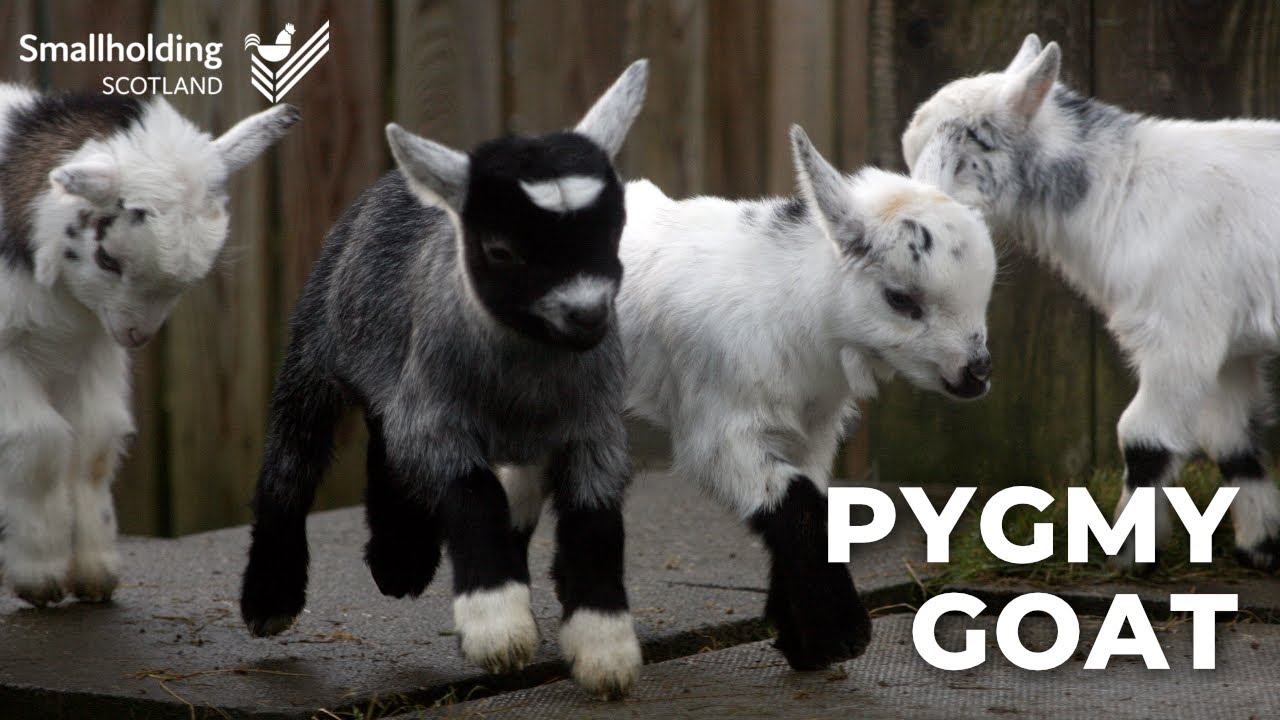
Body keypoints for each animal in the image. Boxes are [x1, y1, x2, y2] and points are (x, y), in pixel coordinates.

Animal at [0, 85, 297, 607]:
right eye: (106, 258)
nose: (138, 335)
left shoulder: (89, 352)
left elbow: (95, 442)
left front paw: (93, 573)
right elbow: (39, 440)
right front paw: (41, 574)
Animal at [240, 61, 649, 699]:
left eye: (615, 227)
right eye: (501, 250)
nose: (587, 316)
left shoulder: (595, 433)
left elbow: (595, 524)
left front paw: (605, 651)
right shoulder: (438, 423)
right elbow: (474, 494)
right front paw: (498, 629)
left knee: (386, 448)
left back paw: (399, 561)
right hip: (315, 352)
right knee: (291, 465)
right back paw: (273, 596)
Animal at [902, 34, 1280, 571]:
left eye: (976, 144)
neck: (1124, 188)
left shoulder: (1179, 335)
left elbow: (1143, 439)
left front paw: (1127, 555)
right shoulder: (1229, 350)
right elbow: (1235, 441)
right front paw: (1261, 547)